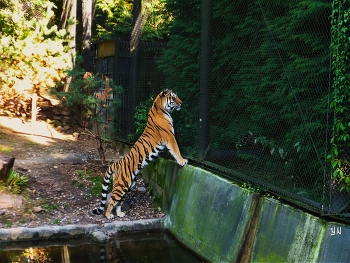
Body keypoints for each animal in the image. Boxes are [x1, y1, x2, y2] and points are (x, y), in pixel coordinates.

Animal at [91, 89, 187, 220]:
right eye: (174, 97)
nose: (181, 103)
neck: (161, 109)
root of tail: (116, 163)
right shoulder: (170, 137)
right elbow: (176, 150)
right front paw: (182, 161)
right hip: (122, 185)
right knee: (111, 200)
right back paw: (108, 215)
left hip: (129, 186)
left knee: (119, 202)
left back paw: (120, 214)